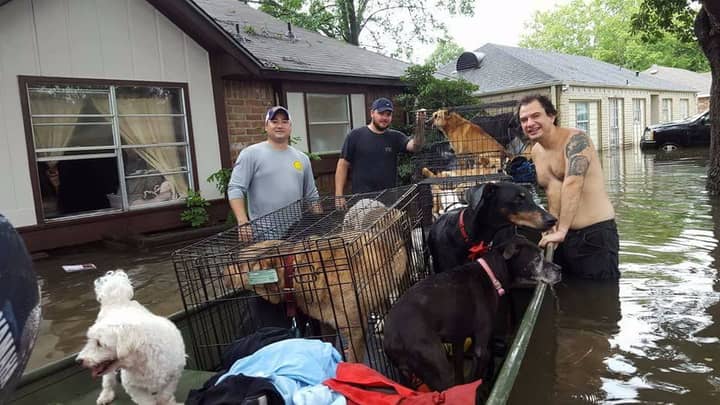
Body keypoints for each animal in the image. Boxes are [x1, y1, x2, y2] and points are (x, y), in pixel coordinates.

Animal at [76, 268, 186, 404]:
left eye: (99, 343)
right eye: (89, 340)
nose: (79, 360)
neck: (143, 359)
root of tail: (117, 301)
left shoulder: (175, 373)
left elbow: (165, 395)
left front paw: (169, 401)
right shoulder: (133, 386)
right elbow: (147, 401)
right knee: (108, 380)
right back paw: (105, 395)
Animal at [386, 235, 560, 390]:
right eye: (537, 259)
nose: (560, 269)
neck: (491, 274)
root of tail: (392, 335)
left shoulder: (458, 340)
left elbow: (460, 375)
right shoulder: (481, 350)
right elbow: (474, 381)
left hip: (406, 376)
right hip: (438, 368)